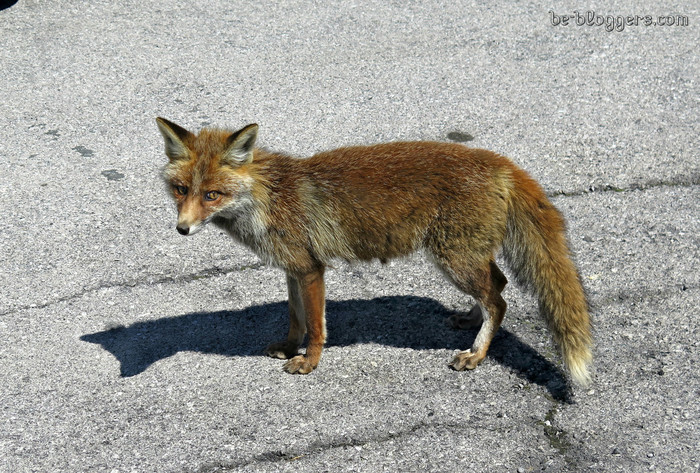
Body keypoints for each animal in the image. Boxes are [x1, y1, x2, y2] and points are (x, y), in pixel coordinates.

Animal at [157, 117, 592, 384]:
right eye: (181, 190)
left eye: (212, 195)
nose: (182, 229)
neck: (268, 199)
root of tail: (499, 162)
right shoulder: (293, 268)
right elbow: (295, 319)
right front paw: (288, 346)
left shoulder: (311, 269)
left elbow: (316, 326)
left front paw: (309, 362)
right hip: (465, 258)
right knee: (497, 287)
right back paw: (470, 320)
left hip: (453, 259)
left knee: (499, 301)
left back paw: (476, 354)